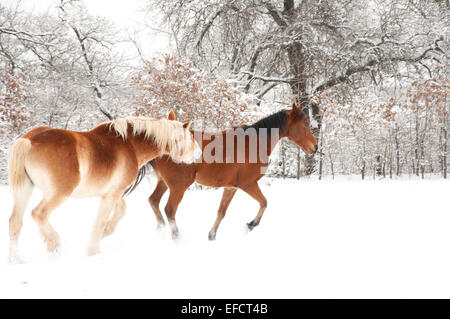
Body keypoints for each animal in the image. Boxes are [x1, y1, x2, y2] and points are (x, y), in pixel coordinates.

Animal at [6, 113, 200, 262]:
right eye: (190, 137)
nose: (198, 153)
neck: (130, 144)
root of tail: (28, 140)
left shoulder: (113, 192)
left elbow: (120, 211)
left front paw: (105, 233)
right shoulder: (112, 194)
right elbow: (101, 220)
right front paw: (94, 250)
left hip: (24, 190)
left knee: (15, 221)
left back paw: (17, 259)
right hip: (58, 194)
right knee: (39, 214)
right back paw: (54, 245)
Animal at [148, 104, 316, 241]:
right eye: (305, 124)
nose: (315, 147)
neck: (254, 143)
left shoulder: (230, 187)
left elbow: (221, 212)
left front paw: (212, 236)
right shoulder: (248, 184)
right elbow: (264, 203)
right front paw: (250, 225)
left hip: (164, 182)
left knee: (153, 201)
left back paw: (161, 230)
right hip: (179, 186)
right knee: (169, 210)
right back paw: (176, 237)